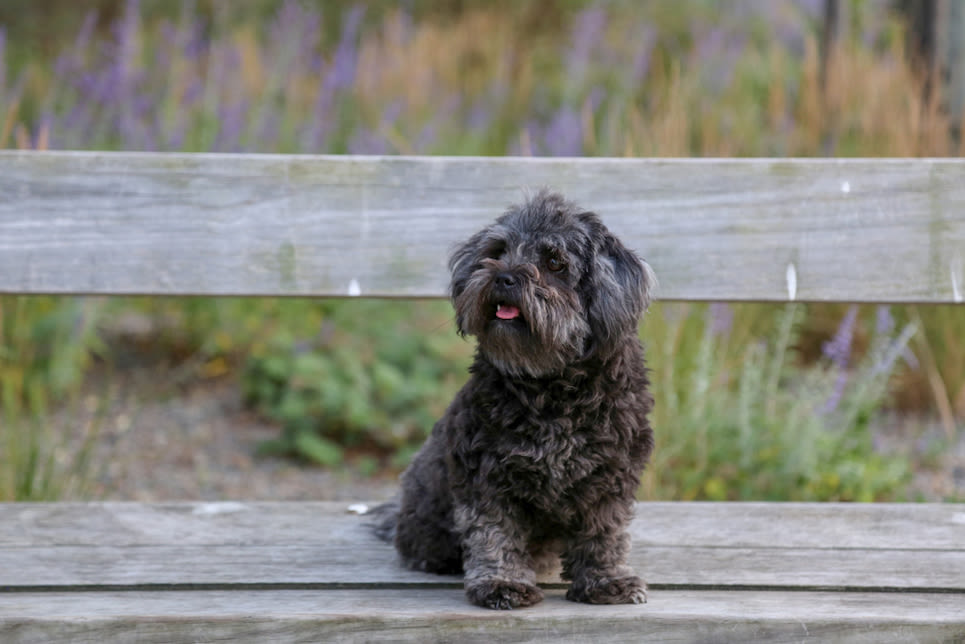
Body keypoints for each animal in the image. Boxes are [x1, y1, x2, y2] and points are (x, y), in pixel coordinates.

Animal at [372, 190, 652, 608]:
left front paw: (606, 580)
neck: (550, 384)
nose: (503, 277)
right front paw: (502, 583)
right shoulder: (484, 472)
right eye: (498, 251)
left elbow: (604, 532)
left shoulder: (612, 474)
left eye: (554, 262)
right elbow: (494, 532)